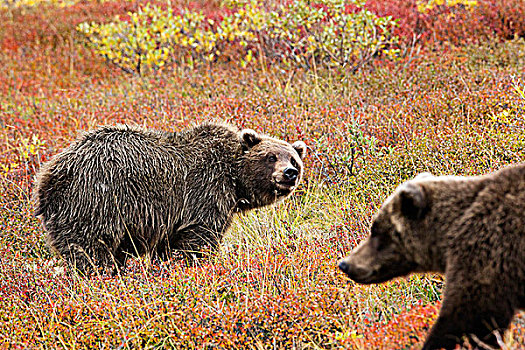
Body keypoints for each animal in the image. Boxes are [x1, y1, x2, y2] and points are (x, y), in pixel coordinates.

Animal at [33, 122, 308, 274]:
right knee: (90, 249)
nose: (289, 173)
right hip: (95, 200)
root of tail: (48, 176)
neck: (234, 178)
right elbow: (198, 240)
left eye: (294, 159)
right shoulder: (205, 193)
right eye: (271, 156)